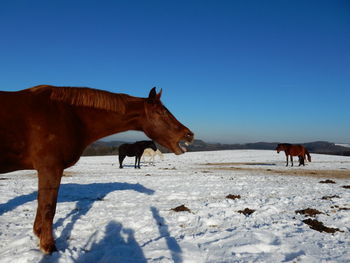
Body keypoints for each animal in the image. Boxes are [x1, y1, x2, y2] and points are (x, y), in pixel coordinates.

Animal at [0, 85, 194, 255]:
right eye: (162, 112)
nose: (189, 134)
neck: (67, 114)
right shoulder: (50, 168)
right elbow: (48, 208)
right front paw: (48, 247)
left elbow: (42, 205)